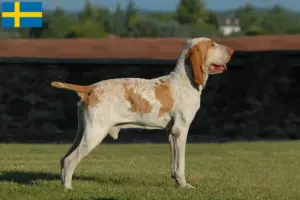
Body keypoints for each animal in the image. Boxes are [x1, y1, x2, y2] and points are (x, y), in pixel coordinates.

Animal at [51, 37, 234, 189]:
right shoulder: (181, 130)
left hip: (83, 132)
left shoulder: (171, 133)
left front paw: (177, 182)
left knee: (63, 159)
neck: (184, 81)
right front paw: (184, 185)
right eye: (211, 44)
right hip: (95, 133)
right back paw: (68, 188)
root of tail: (89, 88)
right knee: (70, 160)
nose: (232, 50)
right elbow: (180, 164)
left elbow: (174, 163)